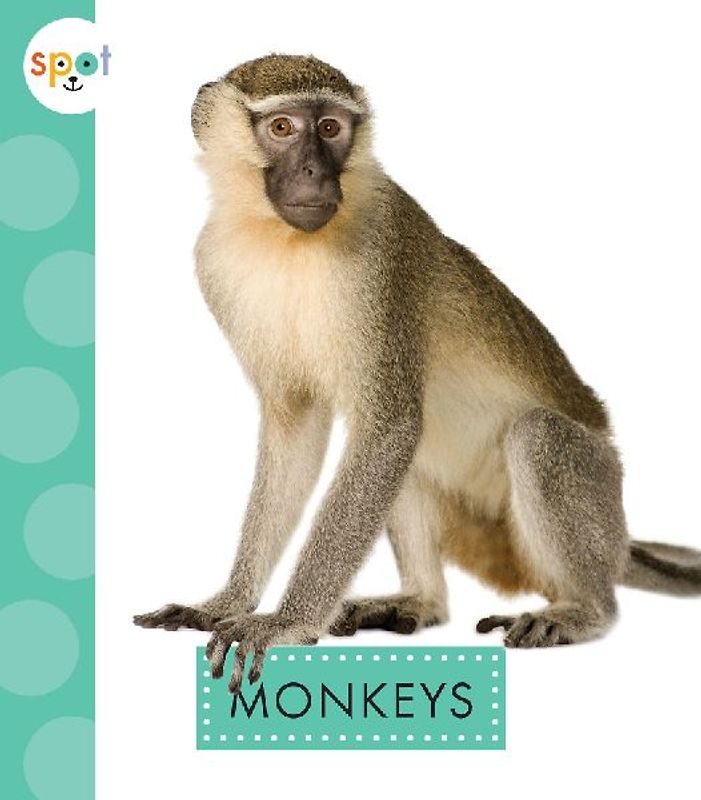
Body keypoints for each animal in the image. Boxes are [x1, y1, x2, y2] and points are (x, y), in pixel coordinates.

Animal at [134, 54, 701, 695]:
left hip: (597, 490)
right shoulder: (213, 263)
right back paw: (421, 600)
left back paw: (584, 610)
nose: (313, 170)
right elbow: (298, 430)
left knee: (535, 435)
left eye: (330, 128)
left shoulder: (382, 255)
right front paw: (226, 602)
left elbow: (387, 428)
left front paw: (284, 622)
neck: (283, 240)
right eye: (282, 128)